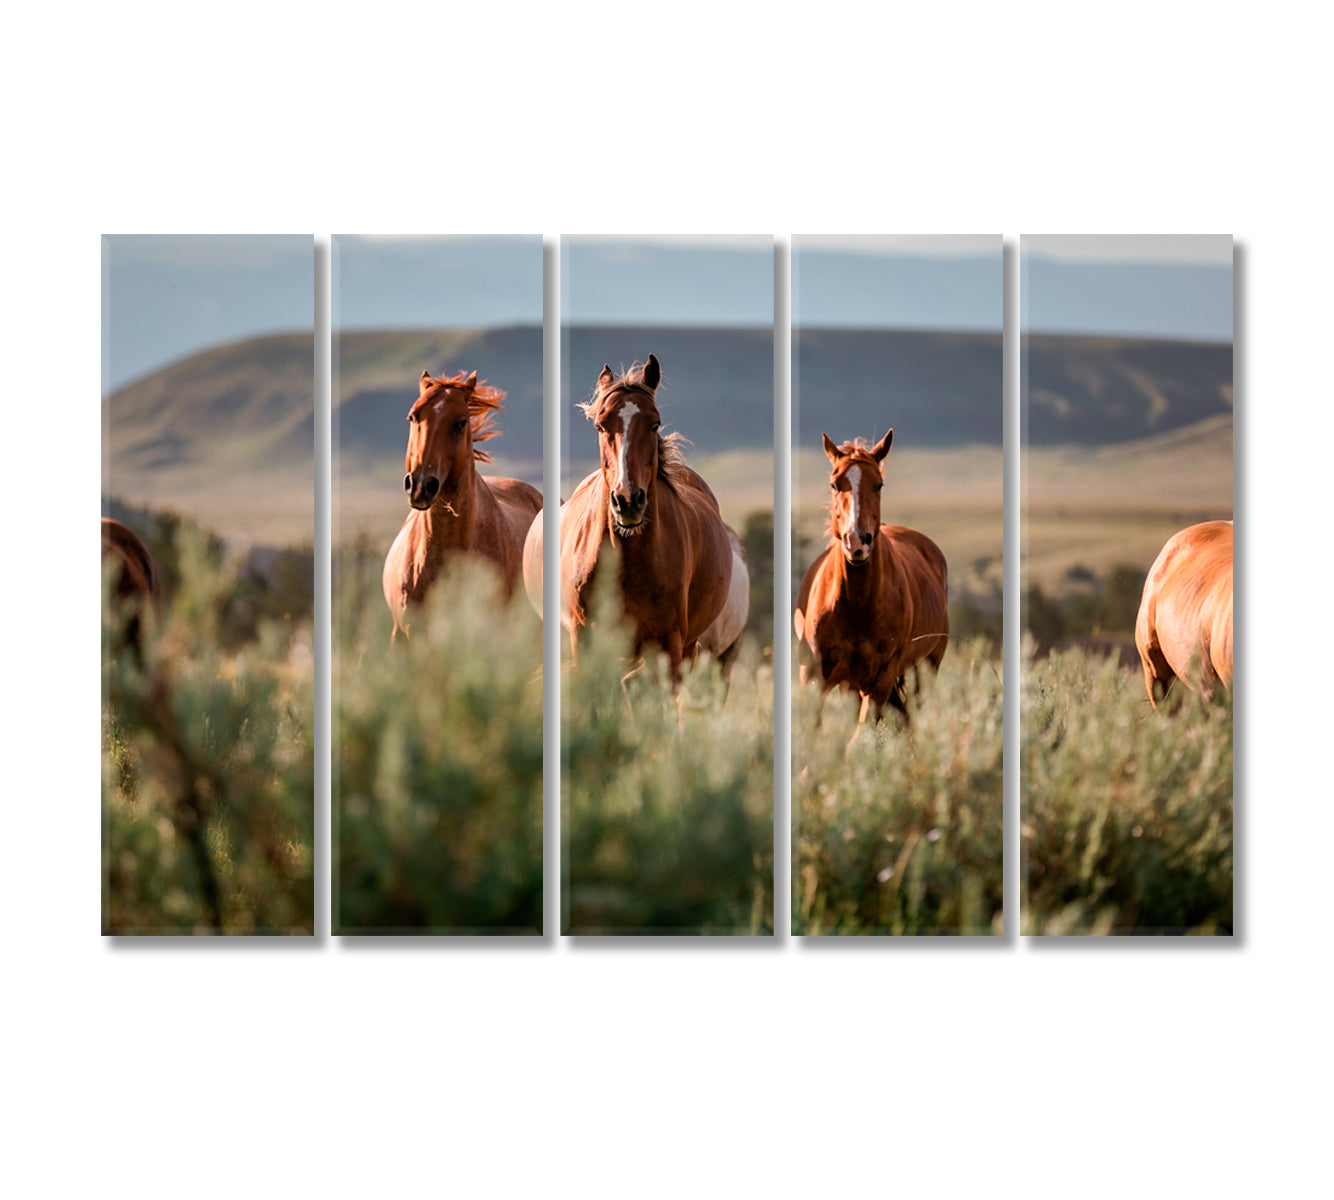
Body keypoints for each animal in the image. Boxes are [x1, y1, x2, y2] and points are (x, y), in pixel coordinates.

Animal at [789, 434, 949, 725]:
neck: (856, 605)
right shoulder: (815, 674)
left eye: (879, 484)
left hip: (923, 672)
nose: (857, 541)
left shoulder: (881, 678)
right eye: (834, 483)